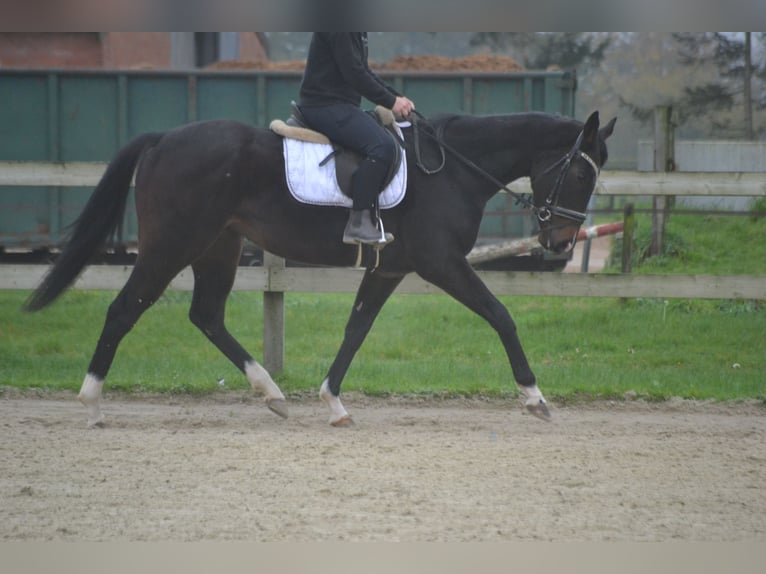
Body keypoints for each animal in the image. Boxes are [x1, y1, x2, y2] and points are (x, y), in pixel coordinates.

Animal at [25, 111, 616, 428]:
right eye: (579, 176)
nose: (561, 244)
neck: (452, 170)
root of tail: (163, 139)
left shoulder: (388, 270)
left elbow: (356, 330)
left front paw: (333, 402)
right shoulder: (442, 264)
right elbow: (500, 315)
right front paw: (535, 398)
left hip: (217, 247)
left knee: (207, 316)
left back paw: (272, 394)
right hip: (172, 245)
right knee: (125, 309)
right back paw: (92, 403)